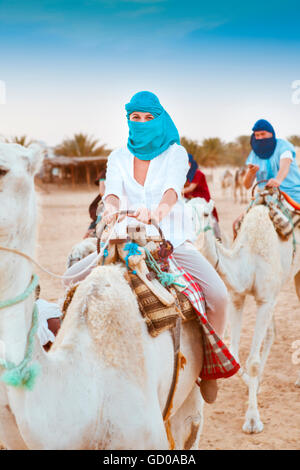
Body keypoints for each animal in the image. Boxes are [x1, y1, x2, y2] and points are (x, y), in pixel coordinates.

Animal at [188, 197, 300, 434]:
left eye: (205, 214)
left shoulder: (265, 300)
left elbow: (253, 362)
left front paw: (253, 420)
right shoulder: (237, 297)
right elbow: (235, 355)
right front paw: (254, 387)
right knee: (271, 332)